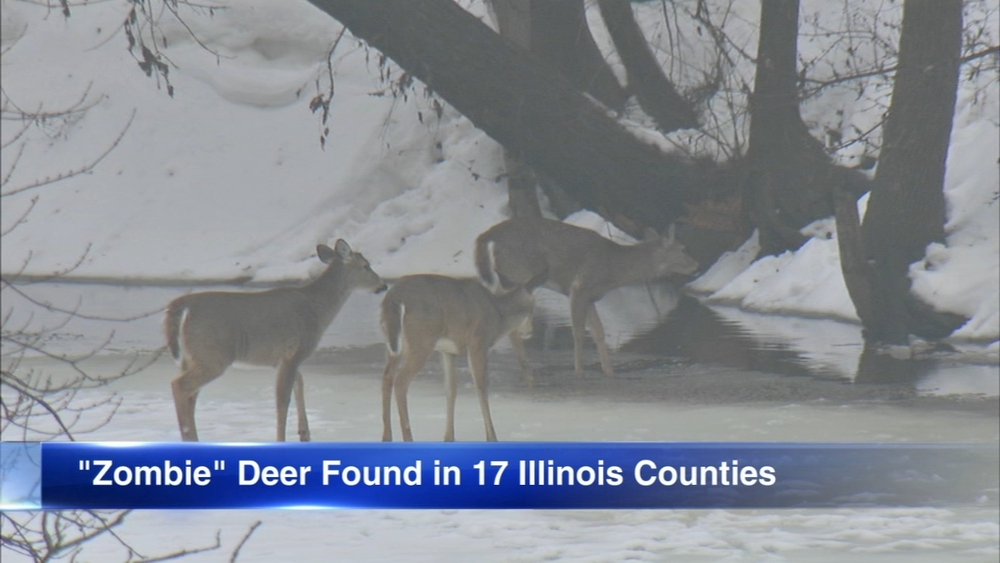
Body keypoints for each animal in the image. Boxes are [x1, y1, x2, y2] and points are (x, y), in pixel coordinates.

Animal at [163, 240, 387, 442]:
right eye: (366, 266)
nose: (383, 285)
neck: (317, 308)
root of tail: (182, 305)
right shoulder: (294, 352)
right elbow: (282, 399)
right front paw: (282, 438)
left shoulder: (281, 359)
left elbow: (299, 382)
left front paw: (304, 432)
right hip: (212, 354)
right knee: (179, 386)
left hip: (191, 357)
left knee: (191, 393)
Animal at [379, 272, 543, 442]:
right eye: (533, 308)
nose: (530, 331)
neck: (499, 316)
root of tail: (394, 297)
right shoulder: (478, 343)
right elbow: (481, 387)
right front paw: (491, 436)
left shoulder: (448, 350)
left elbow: (451, 389)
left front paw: (449, 437)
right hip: (422, 338)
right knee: (401, 381)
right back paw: (408, 437)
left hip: (394, 343)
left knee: (387, 377)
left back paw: (386, 436)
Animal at [475, 217, 699, 379]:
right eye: (683, 249)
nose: (696, 267)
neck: (613, 267)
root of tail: (488, 235)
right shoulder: (579, 288)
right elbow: (579, 333)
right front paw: (579, 372)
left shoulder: (591, 296)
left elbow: (599, 332)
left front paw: (609, 371)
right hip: (519, 273)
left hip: (507, 278)